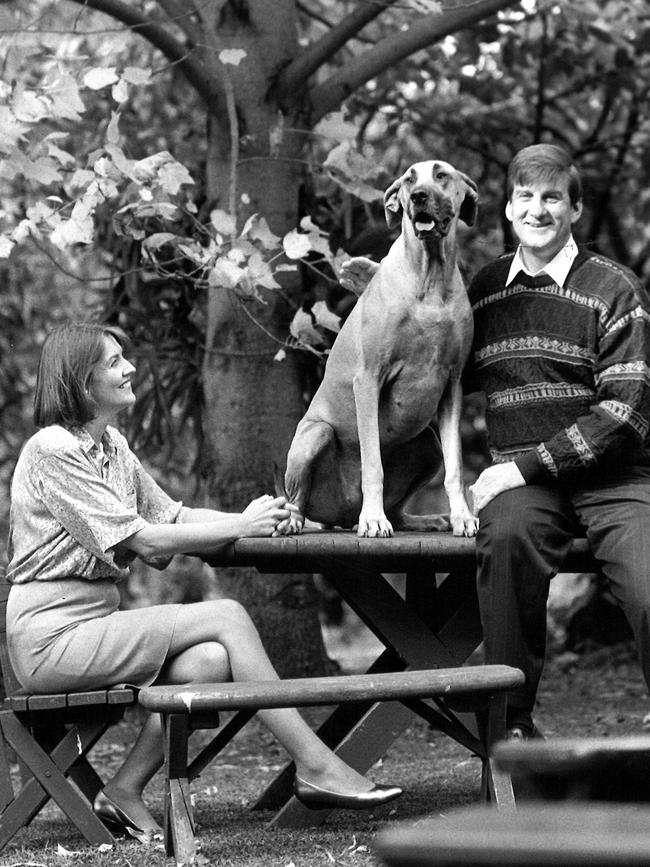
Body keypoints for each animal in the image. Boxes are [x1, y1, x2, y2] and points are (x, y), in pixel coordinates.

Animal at [280, 157, 478, 536]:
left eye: (441, 174)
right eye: (409, 179)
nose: (418, 197)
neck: (430, 278)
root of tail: (341, 515)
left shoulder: (453, 384)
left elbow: (456, 468)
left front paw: (462, 516)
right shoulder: (369, 379)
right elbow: (373, 463)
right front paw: (373, 518)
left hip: (427, 444)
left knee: (400, 506)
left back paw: (422, 520)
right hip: (315, 434)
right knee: (297, 498)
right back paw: (295, 521)